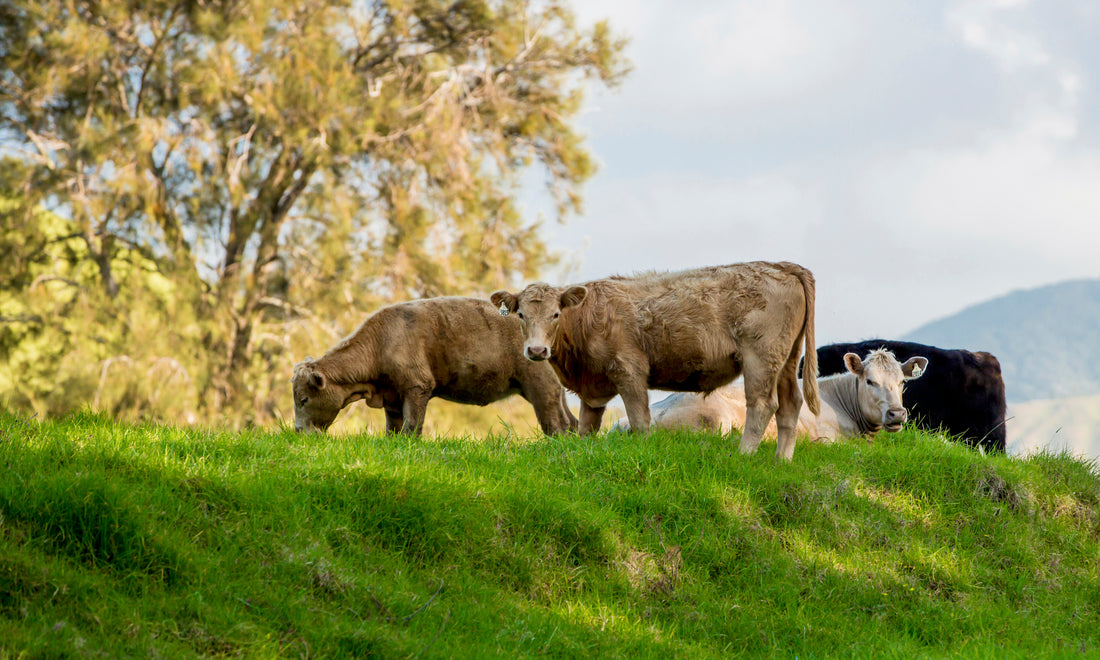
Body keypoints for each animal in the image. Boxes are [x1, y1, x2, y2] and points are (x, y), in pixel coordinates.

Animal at [292, 297, 585, 435]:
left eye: (304, 399)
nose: (298, 430)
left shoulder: (417, 386)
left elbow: (412, 427)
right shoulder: (392, 395)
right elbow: (393, 429)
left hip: (540, 385)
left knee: (557, 424)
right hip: (553, 389)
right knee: (571, 422)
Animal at [490, 260, 818, 462]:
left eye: (556, 314)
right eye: (521, 315)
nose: (536, 351)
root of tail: (781, 266)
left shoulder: (629, 369)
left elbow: (639, 420)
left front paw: (643, 452)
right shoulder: (593, 386)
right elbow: (587, 427)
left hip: (761, 356)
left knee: (762, 404)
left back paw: (744, 455)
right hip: (787, 359)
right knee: (790, 404)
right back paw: (781, 461)